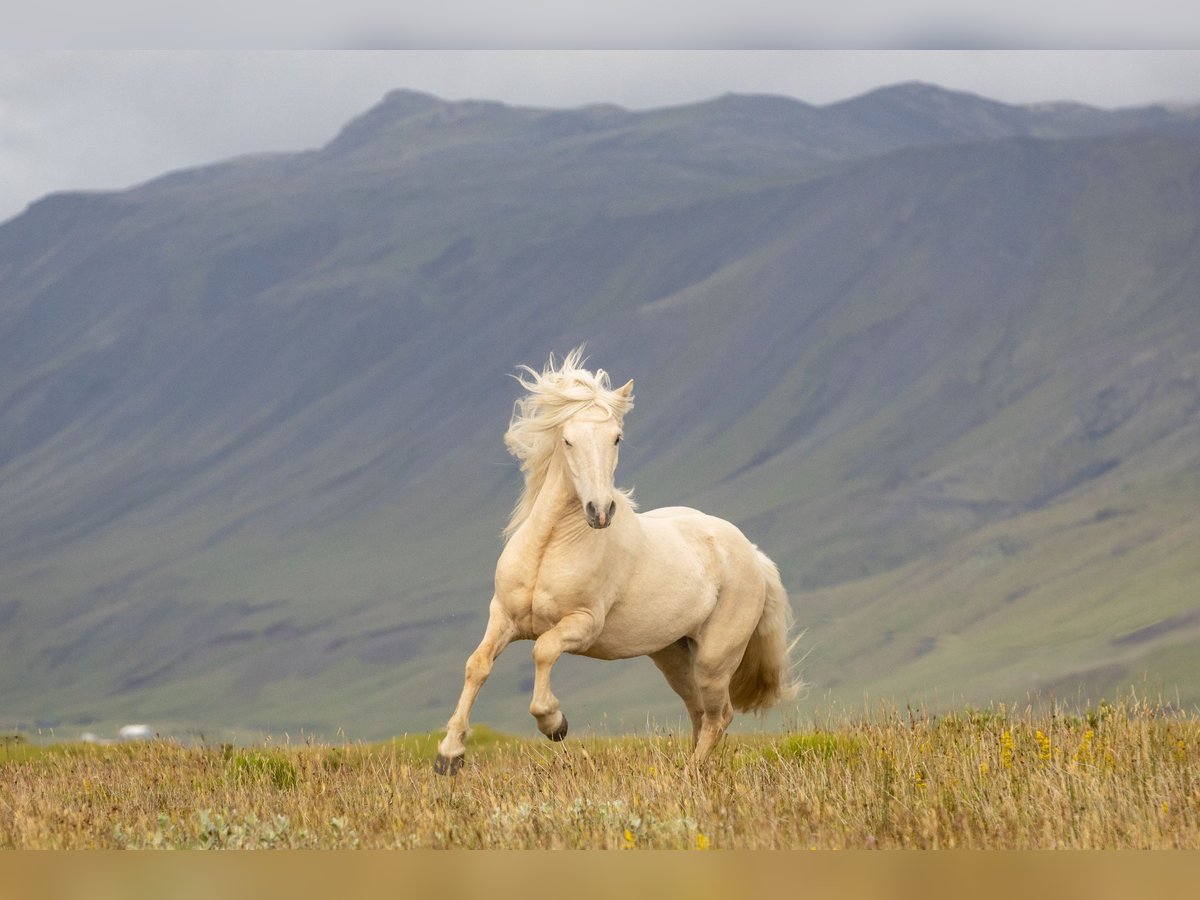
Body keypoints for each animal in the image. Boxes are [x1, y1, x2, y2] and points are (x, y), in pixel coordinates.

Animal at [434, 350, 796, 777]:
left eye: (616, 437)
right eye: (568, 439)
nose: (600, 511)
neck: (551, 547)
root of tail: (753, 554)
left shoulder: (583, 624)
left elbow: (543, 652)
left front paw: (555, 723)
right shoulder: (503, 615)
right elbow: (477, 665)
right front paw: (449, 755)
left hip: (714, 657)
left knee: (718, 715)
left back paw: (688, 775)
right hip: (673, 655)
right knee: (698, 711)